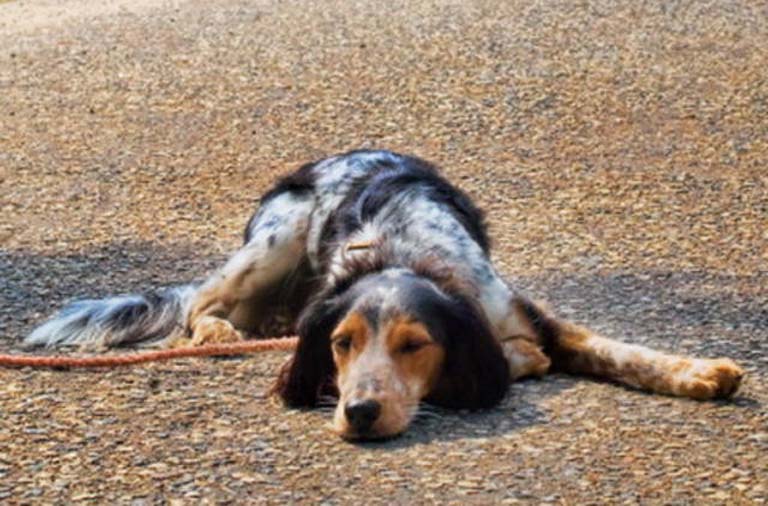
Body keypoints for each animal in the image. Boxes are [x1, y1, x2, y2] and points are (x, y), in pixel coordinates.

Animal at [25, 149, 744, 438]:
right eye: (340, 345)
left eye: (414, 345)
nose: (361, 412)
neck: (403, 253)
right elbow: (526, 359)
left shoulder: (524, 313)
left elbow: (615, 350)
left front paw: (697, 371)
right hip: (278, 233)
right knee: (201, 305)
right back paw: (218, 333)